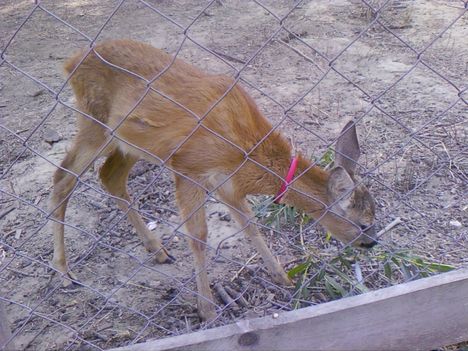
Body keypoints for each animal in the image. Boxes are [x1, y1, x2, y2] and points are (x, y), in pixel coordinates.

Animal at [50, 38, 376, 322]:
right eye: (363, 223)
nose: (372, 243)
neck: (248, 151)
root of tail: (71, 62)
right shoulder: (189, 169)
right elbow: (199, 237)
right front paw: (206, 308)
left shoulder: (227, 185)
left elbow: (250, 227)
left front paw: (282, 276)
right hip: (95, 122)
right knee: (63, 176)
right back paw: (64, 273)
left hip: (130, 142)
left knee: (110, 177)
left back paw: (157, 250)